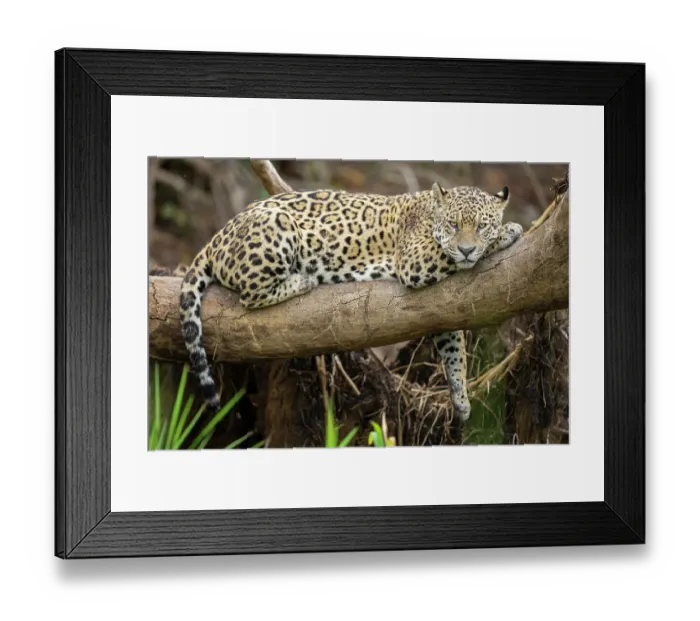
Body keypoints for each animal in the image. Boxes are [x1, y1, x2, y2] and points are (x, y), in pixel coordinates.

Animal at [179, 181, 523, 422]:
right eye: (454, 225)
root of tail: (215, 237)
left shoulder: (442, 311)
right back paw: (304, 279)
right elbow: (449, 255)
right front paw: (509, 231)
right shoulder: (415, 259)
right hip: (279, 225)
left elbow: (454, 350)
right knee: (250, 295)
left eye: (481, 225)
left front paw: (460, 396)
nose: (466, 250)